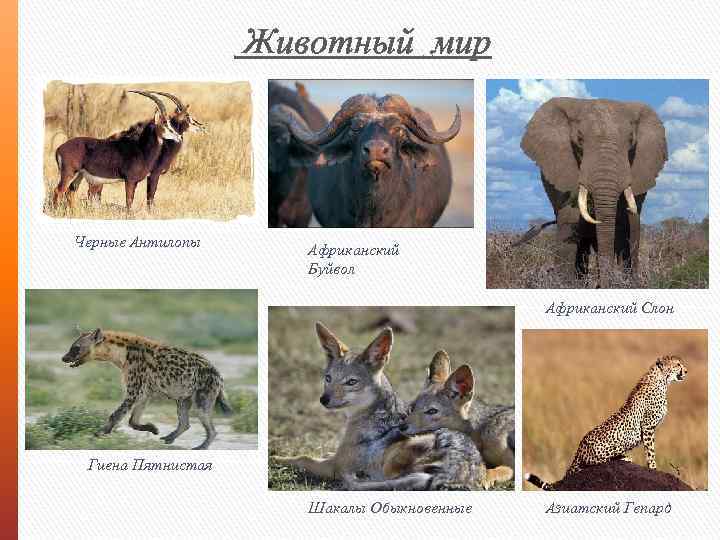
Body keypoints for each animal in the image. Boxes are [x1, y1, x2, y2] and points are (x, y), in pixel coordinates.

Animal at [519, 97, 668, 287]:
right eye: (579, 139)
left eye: (631, 141)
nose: (604, 285)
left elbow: (628, 223)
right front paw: (566, 285)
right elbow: (569, 219)